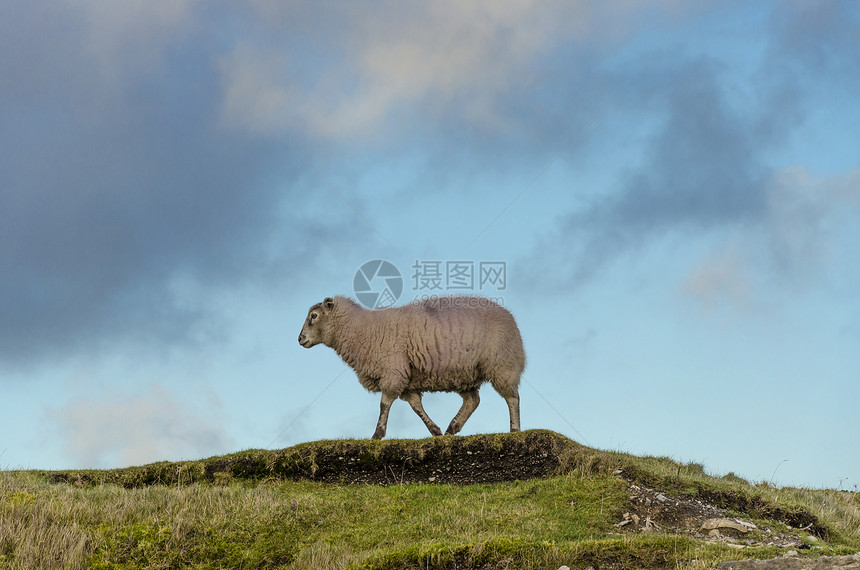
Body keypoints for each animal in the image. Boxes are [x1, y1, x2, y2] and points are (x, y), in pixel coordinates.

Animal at [298, 296, 528, 438]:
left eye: (314, 316)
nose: (300, 339)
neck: (362, 329)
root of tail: (510, 316)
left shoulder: (393, 371)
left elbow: (384, 404)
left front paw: (377, 434)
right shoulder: (406, 379)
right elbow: (416, 407)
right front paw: (435, 431)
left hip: (503, 364)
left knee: (512, 398)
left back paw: (515, 430)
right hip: (465, 373)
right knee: (473, 400)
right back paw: (452, 427)